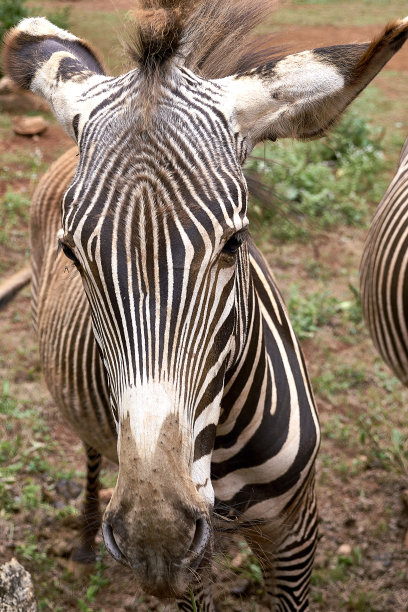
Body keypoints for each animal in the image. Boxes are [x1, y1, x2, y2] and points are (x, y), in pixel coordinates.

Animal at [3, 2, 408, 608]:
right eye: (72, 253)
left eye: (235, 242)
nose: (155, 535)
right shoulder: (191, 568)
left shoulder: (297, 534)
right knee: (92, 452)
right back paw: (83, 539)